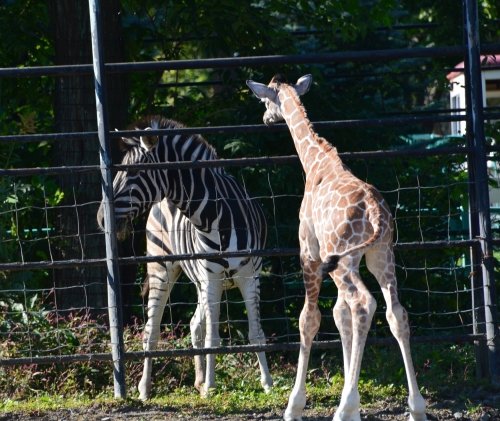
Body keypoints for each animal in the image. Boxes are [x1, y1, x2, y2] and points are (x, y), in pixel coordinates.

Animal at [97, 115, 274, 398]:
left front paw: (267, 383)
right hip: (162, 269)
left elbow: (256, 333)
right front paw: (211, 386)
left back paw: (199, 380)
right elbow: (214, 337)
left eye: (134, 172)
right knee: (151, 331)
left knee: (194, 324)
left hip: (201, 280)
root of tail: (163, 201)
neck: (214, 218)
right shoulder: (212, 278)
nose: (102, 220)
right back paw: (145, 388)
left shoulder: (250, 276)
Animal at [246, 75, 426, 420]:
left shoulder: (309, 253)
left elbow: (309, 319)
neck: (315, 162)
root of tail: (375, 212)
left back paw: (343, 409)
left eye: (264, 100)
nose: (264, 118)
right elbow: (340, 315)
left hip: (344, 260)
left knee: (365, 304)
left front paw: (295, 405)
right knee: (395, 312)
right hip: (380, 256)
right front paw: (349, 397)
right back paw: (416, 407)